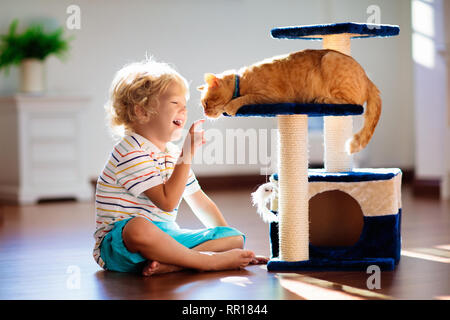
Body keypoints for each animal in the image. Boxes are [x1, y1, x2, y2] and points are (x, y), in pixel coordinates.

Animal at [199, 49, 382, 154]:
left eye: (206, 103)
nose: (204, 112)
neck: (242, 81)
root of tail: (367, 77)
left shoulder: (270, 96)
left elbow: (245, 97)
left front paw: (231, 105)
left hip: (330, 59)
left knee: (351, 103)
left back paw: (321, 99)